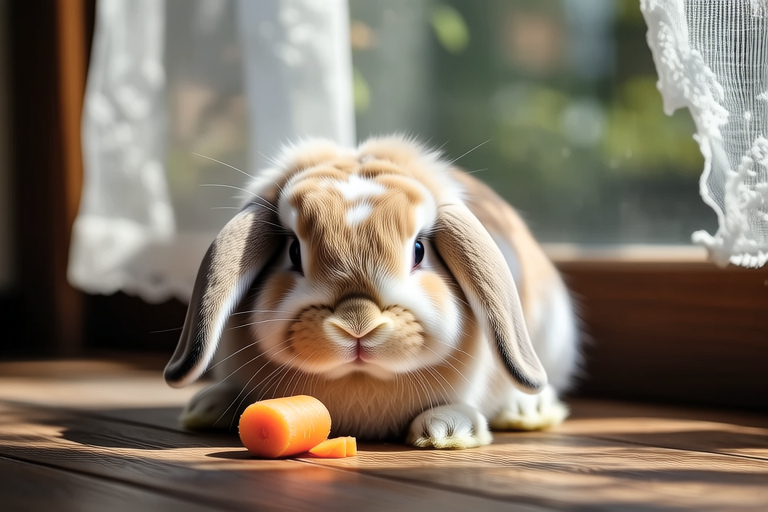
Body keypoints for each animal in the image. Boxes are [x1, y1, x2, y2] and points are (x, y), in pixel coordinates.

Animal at [164, 135, 580, 449]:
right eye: (293, 251)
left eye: (419, 250)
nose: (357, 323)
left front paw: (447, 430)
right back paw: (209, 406)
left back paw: (525, 411)